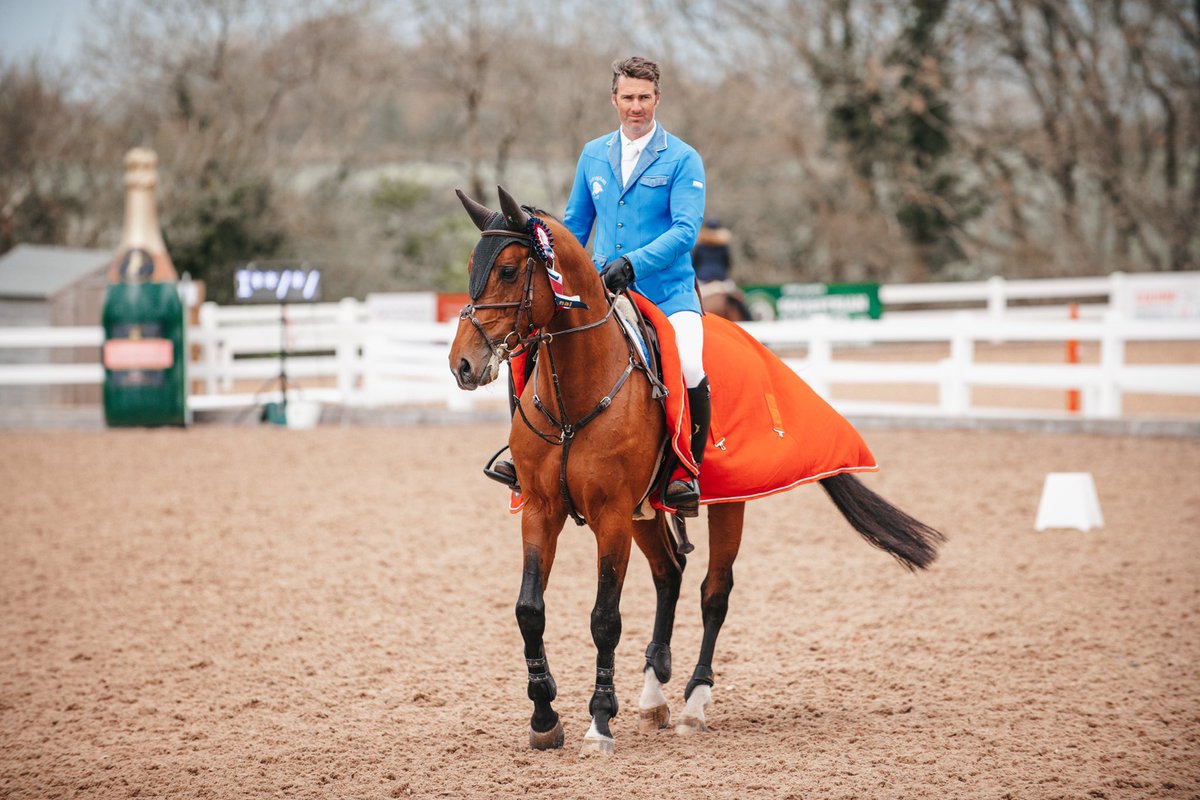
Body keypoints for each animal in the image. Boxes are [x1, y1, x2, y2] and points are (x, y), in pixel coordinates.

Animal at [448, 186, 943, 756]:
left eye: (508, 271)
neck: (576, 393)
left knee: (714, 592)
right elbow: (529, 609)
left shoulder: (611, 516)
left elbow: (605, 619)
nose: (462, 365)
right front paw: (545, 717)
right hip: (644, 513)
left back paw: (693, 703)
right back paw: (652, 694)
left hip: (724, 504)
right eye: (472, 266)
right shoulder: (541, 508)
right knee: (669, 574)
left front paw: (599, 721)